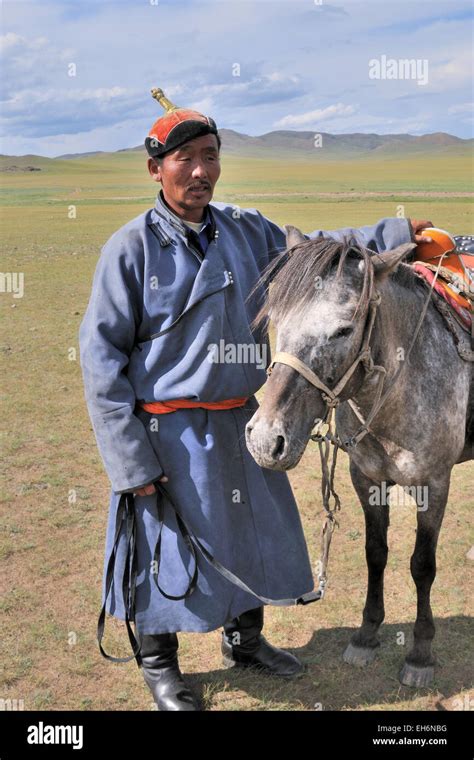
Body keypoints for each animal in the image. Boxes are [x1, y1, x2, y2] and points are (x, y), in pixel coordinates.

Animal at [246, 227, 472, 688]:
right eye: (278, 321)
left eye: (343, 329)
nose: (264, 439)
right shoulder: (365, 479)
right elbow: (376, 553)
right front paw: (367, 636)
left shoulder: (434, 485)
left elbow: (422, 565)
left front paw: (420, 654)